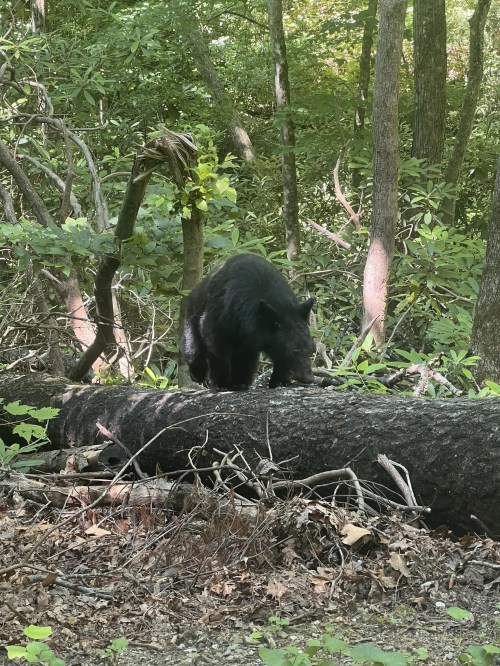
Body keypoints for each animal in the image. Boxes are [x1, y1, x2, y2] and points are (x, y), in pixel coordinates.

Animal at [181, 253, 315, 390]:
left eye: (311, 349)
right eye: (294, 352)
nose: (309, 378)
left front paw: (278, 380)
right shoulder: (219, 319)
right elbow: (217, 349)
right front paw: (222, 382)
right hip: (193, 312)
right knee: (193, 346)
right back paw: (198, 374)